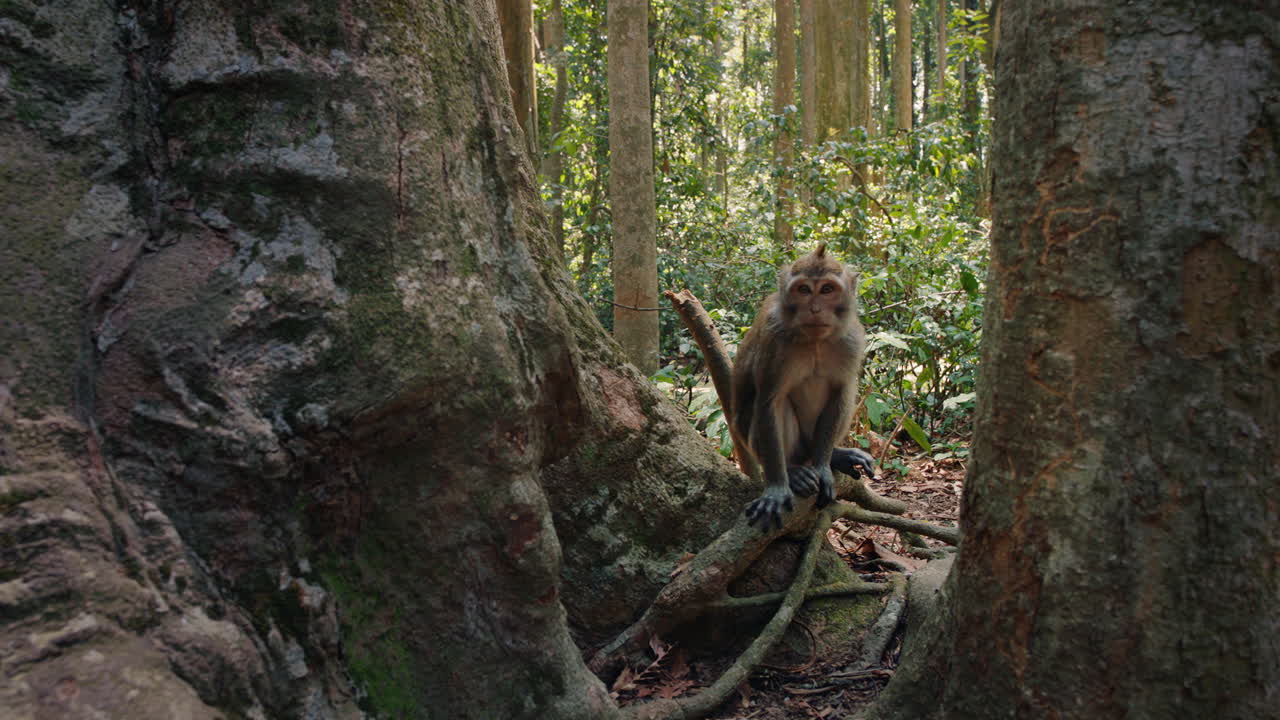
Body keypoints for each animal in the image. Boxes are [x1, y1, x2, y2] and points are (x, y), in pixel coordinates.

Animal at [730, 244, 876, 531]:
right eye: (804, 290)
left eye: (827, 289)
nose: (816, 309)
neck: (815, 341)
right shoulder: (775, 340)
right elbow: (769, 402)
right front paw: (777, 487)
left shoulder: (852, 339)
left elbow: (840, 392)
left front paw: (822, 467)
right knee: (778, 406)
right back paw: (794, 471)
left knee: (845, 397)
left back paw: (833, 456)